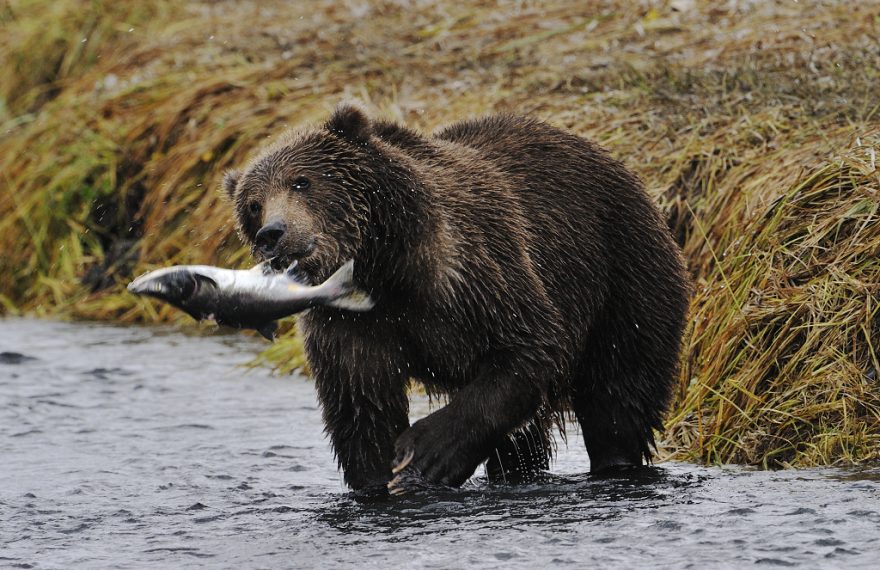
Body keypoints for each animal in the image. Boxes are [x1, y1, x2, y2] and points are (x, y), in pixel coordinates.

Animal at [223, 104, 692, 494]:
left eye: (302, 181)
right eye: (253, 205)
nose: (273, 234)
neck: (383, 268)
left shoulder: (474, 274)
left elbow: (528, 349)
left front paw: (424, 456)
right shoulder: (347, 323)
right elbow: (362, 404)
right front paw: (381, 479)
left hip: (623, 276)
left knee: (618, 397)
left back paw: (617, 463)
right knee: (526, 439)